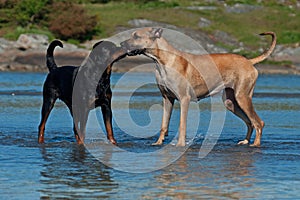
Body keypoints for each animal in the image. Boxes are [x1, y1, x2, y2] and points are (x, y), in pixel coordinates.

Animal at [120, 27, 276, 147]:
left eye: (136, 36)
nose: (121, 43)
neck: (162, 60)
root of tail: (249, 61)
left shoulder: (184, 99)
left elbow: (182, 124)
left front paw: (180, 145)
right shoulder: (167, 98)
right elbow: (164, 124)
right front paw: (158, 143)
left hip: (242, 97)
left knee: (258, 122)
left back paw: (255, 144)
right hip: (231, 102)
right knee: (249, 122)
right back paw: (245, 141)